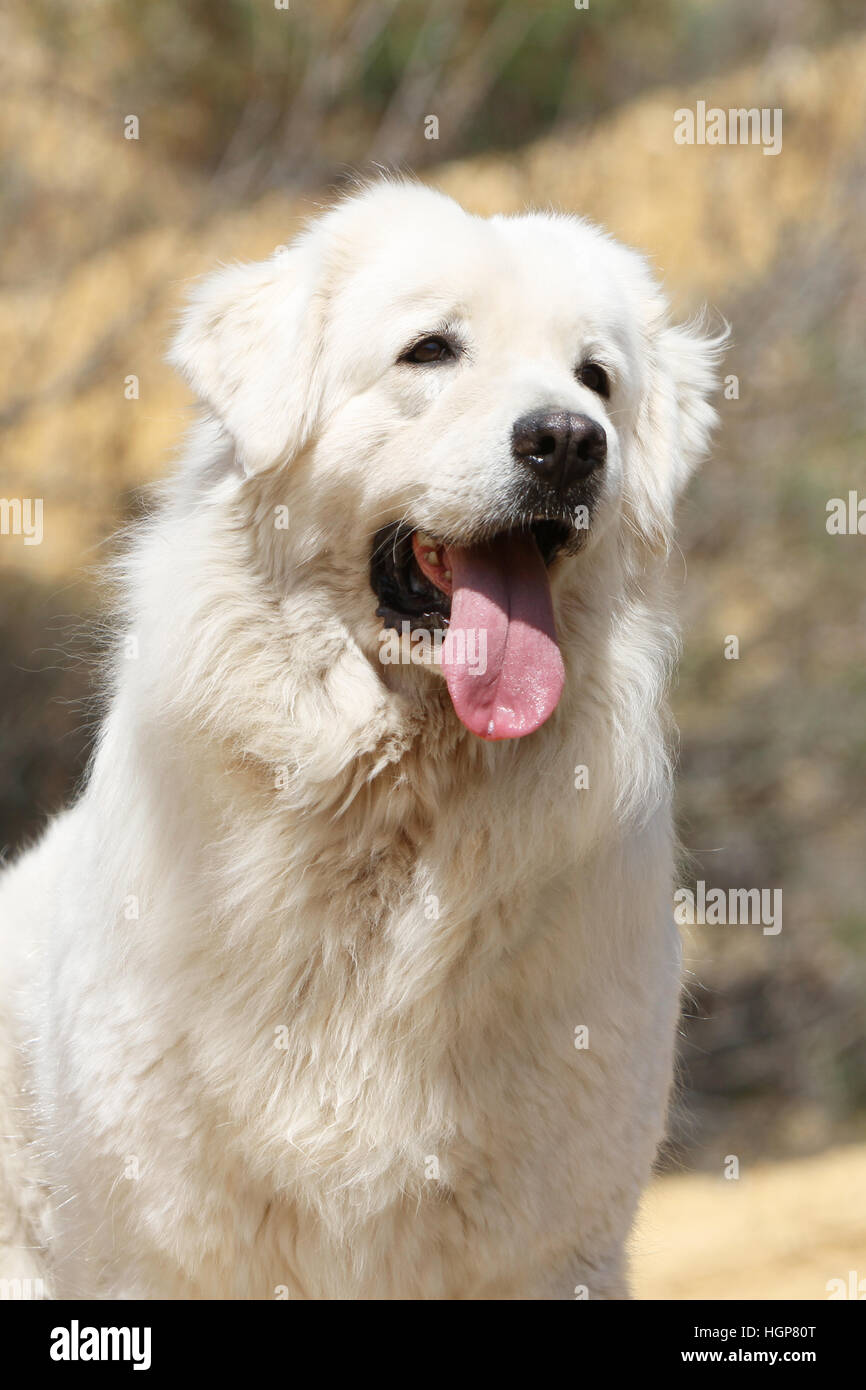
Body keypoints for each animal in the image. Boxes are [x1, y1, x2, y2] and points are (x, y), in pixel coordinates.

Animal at [0, 179, 722, 1295]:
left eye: (595, 377)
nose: (568, 440)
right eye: (430, 351)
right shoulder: (177, 1245)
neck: (397, 817)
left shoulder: (543, 1247)